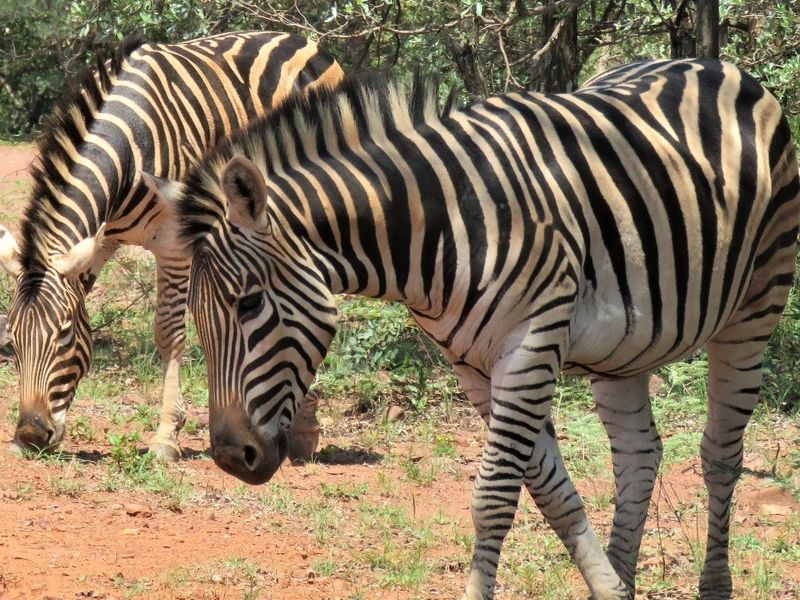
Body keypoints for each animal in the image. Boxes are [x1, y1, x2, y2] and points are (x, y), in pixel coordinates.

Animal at [0, 31, 343, 461]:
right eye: (11, 342)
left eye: (63, 334)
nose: (30, 435)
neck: (129, 147)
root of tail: (295, 37)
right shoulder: (102, 238)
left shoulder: (174, 245)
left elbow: (168, 334)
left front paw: (166, 436)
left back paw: (304, 429)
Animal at [173, 60, 800, 599]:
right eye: (201, 321)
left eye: (250, 303)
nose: (229, 458)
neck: (440, 226)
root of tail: (714, 66)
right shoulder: (472, 364)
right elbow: (552, 492)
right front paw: (609, 588)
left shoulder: (530, 344)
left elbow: (495, 496)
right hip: (626, 347)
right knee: (638, 456)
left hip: (757, 303)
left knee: (720, 454)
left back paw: (715, 586)